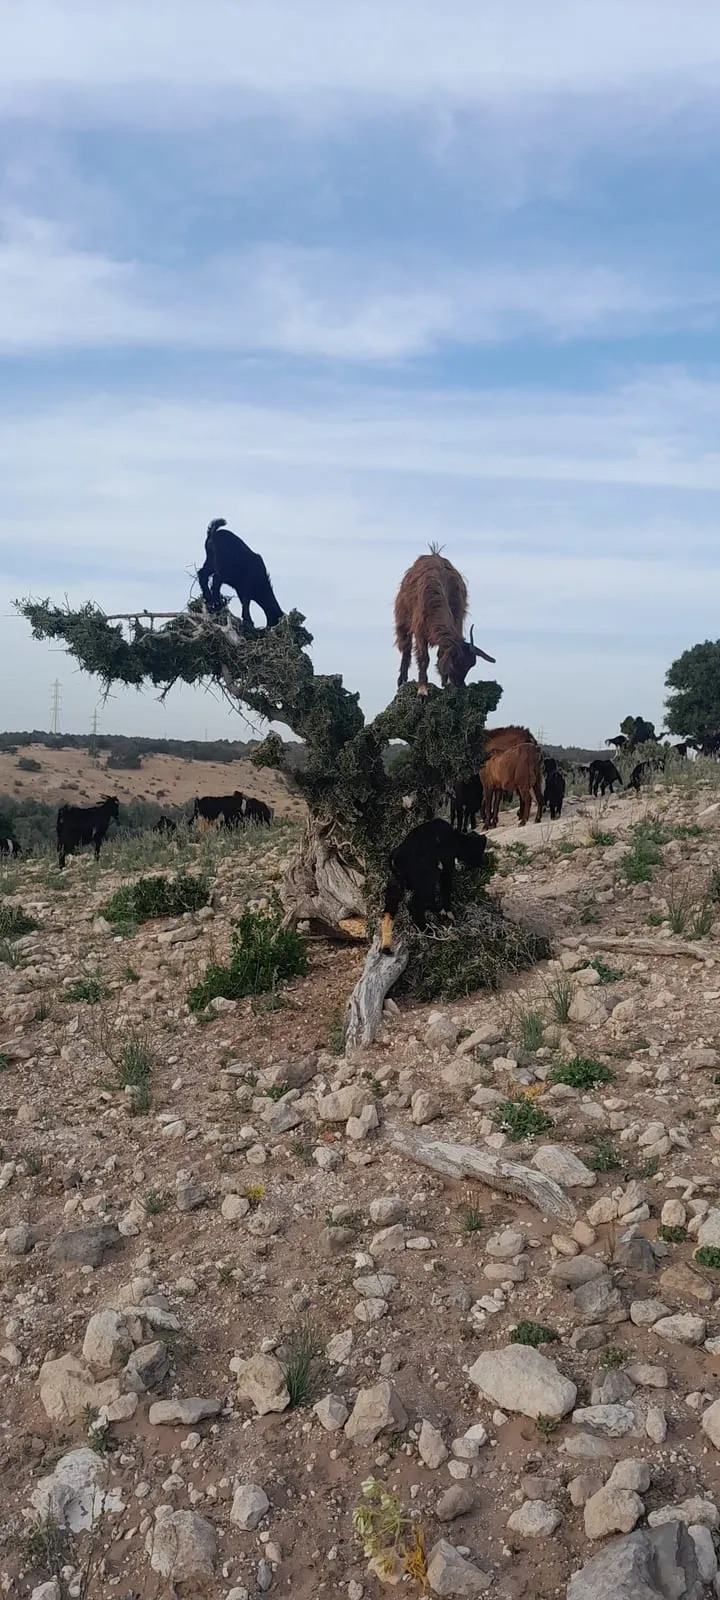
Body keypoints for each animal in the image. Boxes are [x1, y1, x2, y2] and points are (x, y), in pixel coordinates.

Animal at [380, 818, 487, 953]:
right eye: (479, 850)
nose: (482, 864)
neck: (456, 838)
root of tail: (395, 859)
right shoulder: (446, 866)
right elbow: (445, 889)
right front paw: (448, 913)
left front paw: (437, 909)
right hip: (426, 878)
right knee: (413, 905)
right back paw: (429, 930)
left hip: (395, 884)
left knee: (389, 912)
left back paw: (386, 946)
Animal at [394, 551, 494, 697]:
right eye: (456, 662)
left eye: (470, 665)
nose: (459, 684)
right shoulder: (420, 630)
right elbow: (424, 658)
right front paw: (422, 691)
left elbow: (440, 654)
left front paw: (445, 684)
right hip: (403, 619)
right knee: (406, 647)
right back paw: (402, 680)